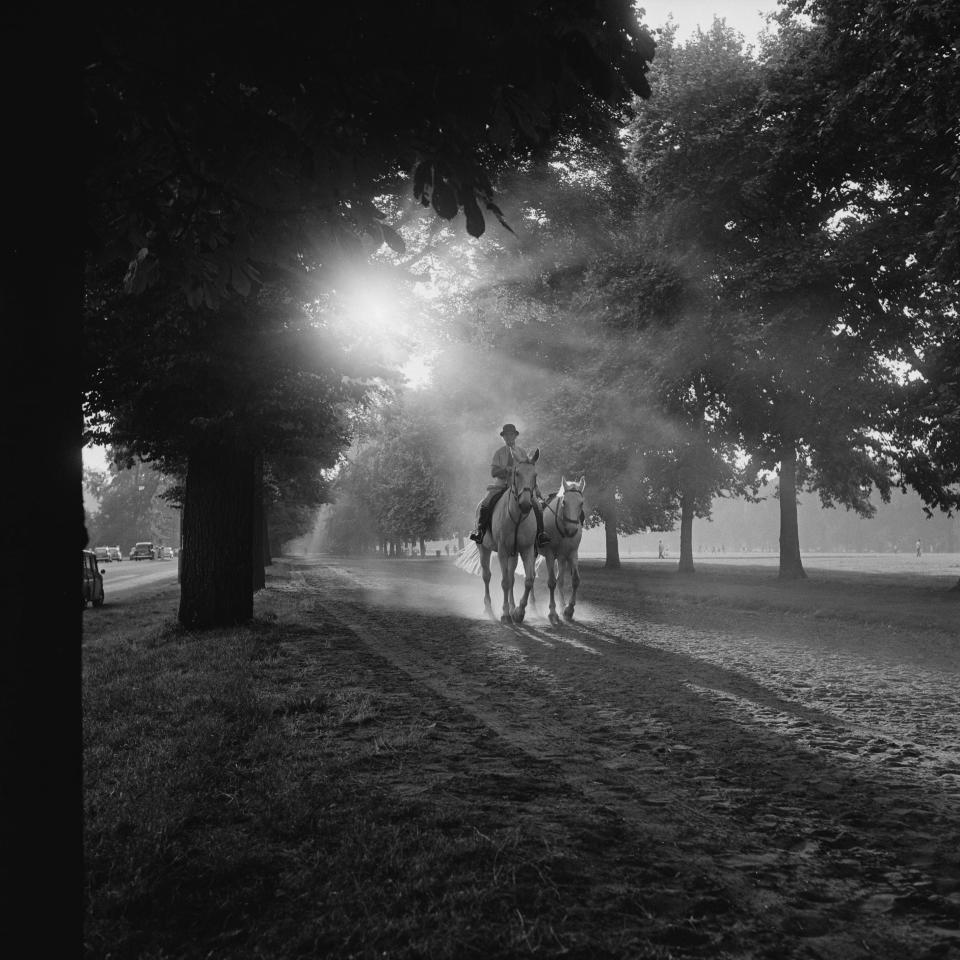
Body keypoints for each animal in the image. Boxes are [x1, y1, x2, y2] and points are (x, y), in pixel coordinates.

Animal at [478, 448, 540, 624]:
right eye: (516, 473)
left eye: (535, 474)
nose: (525, 504)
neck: (517, 517)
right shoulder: (503, 551)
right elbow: (504, 582)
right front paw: (505, 614)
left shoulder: (526, 550)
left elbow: (528, 580)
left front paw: (518, 612)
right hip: (484, 549)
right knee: (487, 576)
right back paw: (488, 609)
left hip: (514, 554)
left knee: (512, 577)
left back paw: (512, 608)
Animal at [540, 476, 584, 628]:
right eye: (564, 502)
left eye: (581, 503)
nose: (572, 530)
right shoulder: (549, 554)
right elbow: (552, 583)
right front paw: (553, 613)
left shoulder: (571, 554)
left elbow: (575, 580)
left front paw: (568, 610)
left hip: (562, 558)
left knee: (560, 581)